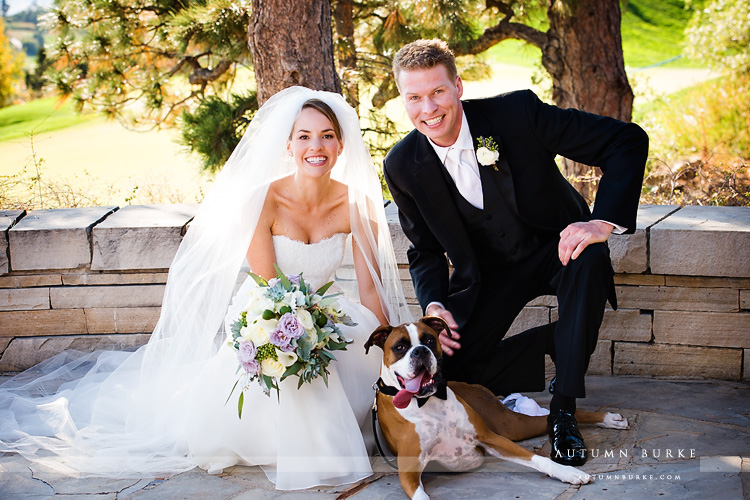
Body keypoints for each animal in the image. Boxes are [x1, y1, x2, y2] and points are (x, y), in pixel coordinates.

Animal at [368, 318, 632, 498]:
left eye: (430, 339)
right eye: (400, 347)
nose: (421, 351)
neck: (428, 401)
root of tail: (471, 385)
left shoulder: (491, 437)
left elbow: (538, 458)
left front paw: (568, 473)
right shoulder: (409, 471)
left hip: (510, 426)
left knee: (556, 416)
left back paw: (609, 419)